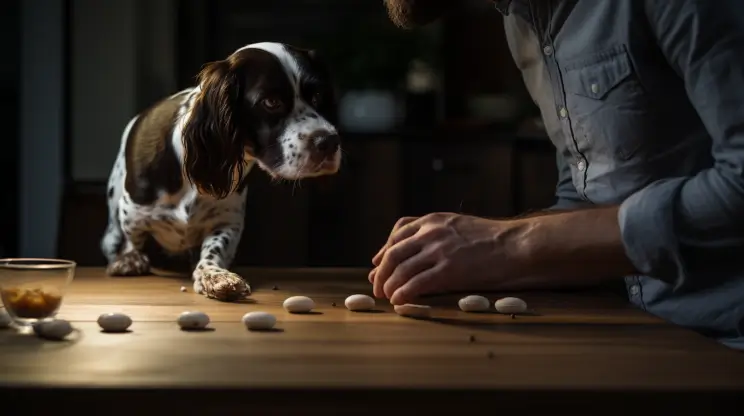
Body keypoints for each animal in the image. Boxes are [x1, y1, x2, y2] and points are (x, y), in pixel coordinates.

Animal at [100, 42, 342, 300]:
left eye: (317, 95)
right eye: (271, 102)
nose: (329, 142)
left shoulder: (228, 220)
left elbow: (215, 248)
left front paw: (214, 275)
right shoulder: (132, 213)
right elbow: (133, 240)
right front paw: (129, 259)